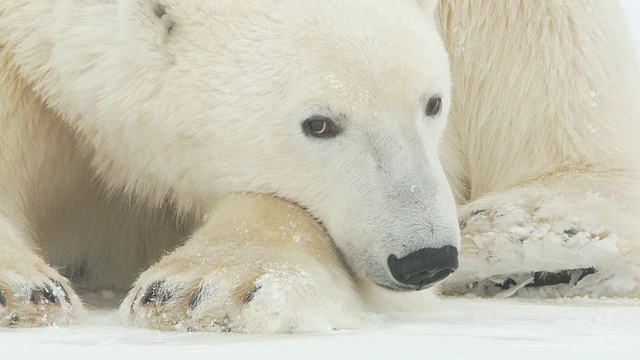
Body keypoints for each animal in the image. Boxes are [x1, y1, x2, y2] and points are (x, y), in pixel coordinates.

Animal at [0, 0, 636, 332]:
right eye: (320, 123)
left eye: (433, 102)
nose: (425, 258)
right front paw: (23, 290)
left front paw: (206, 288)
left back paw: (525, 239)